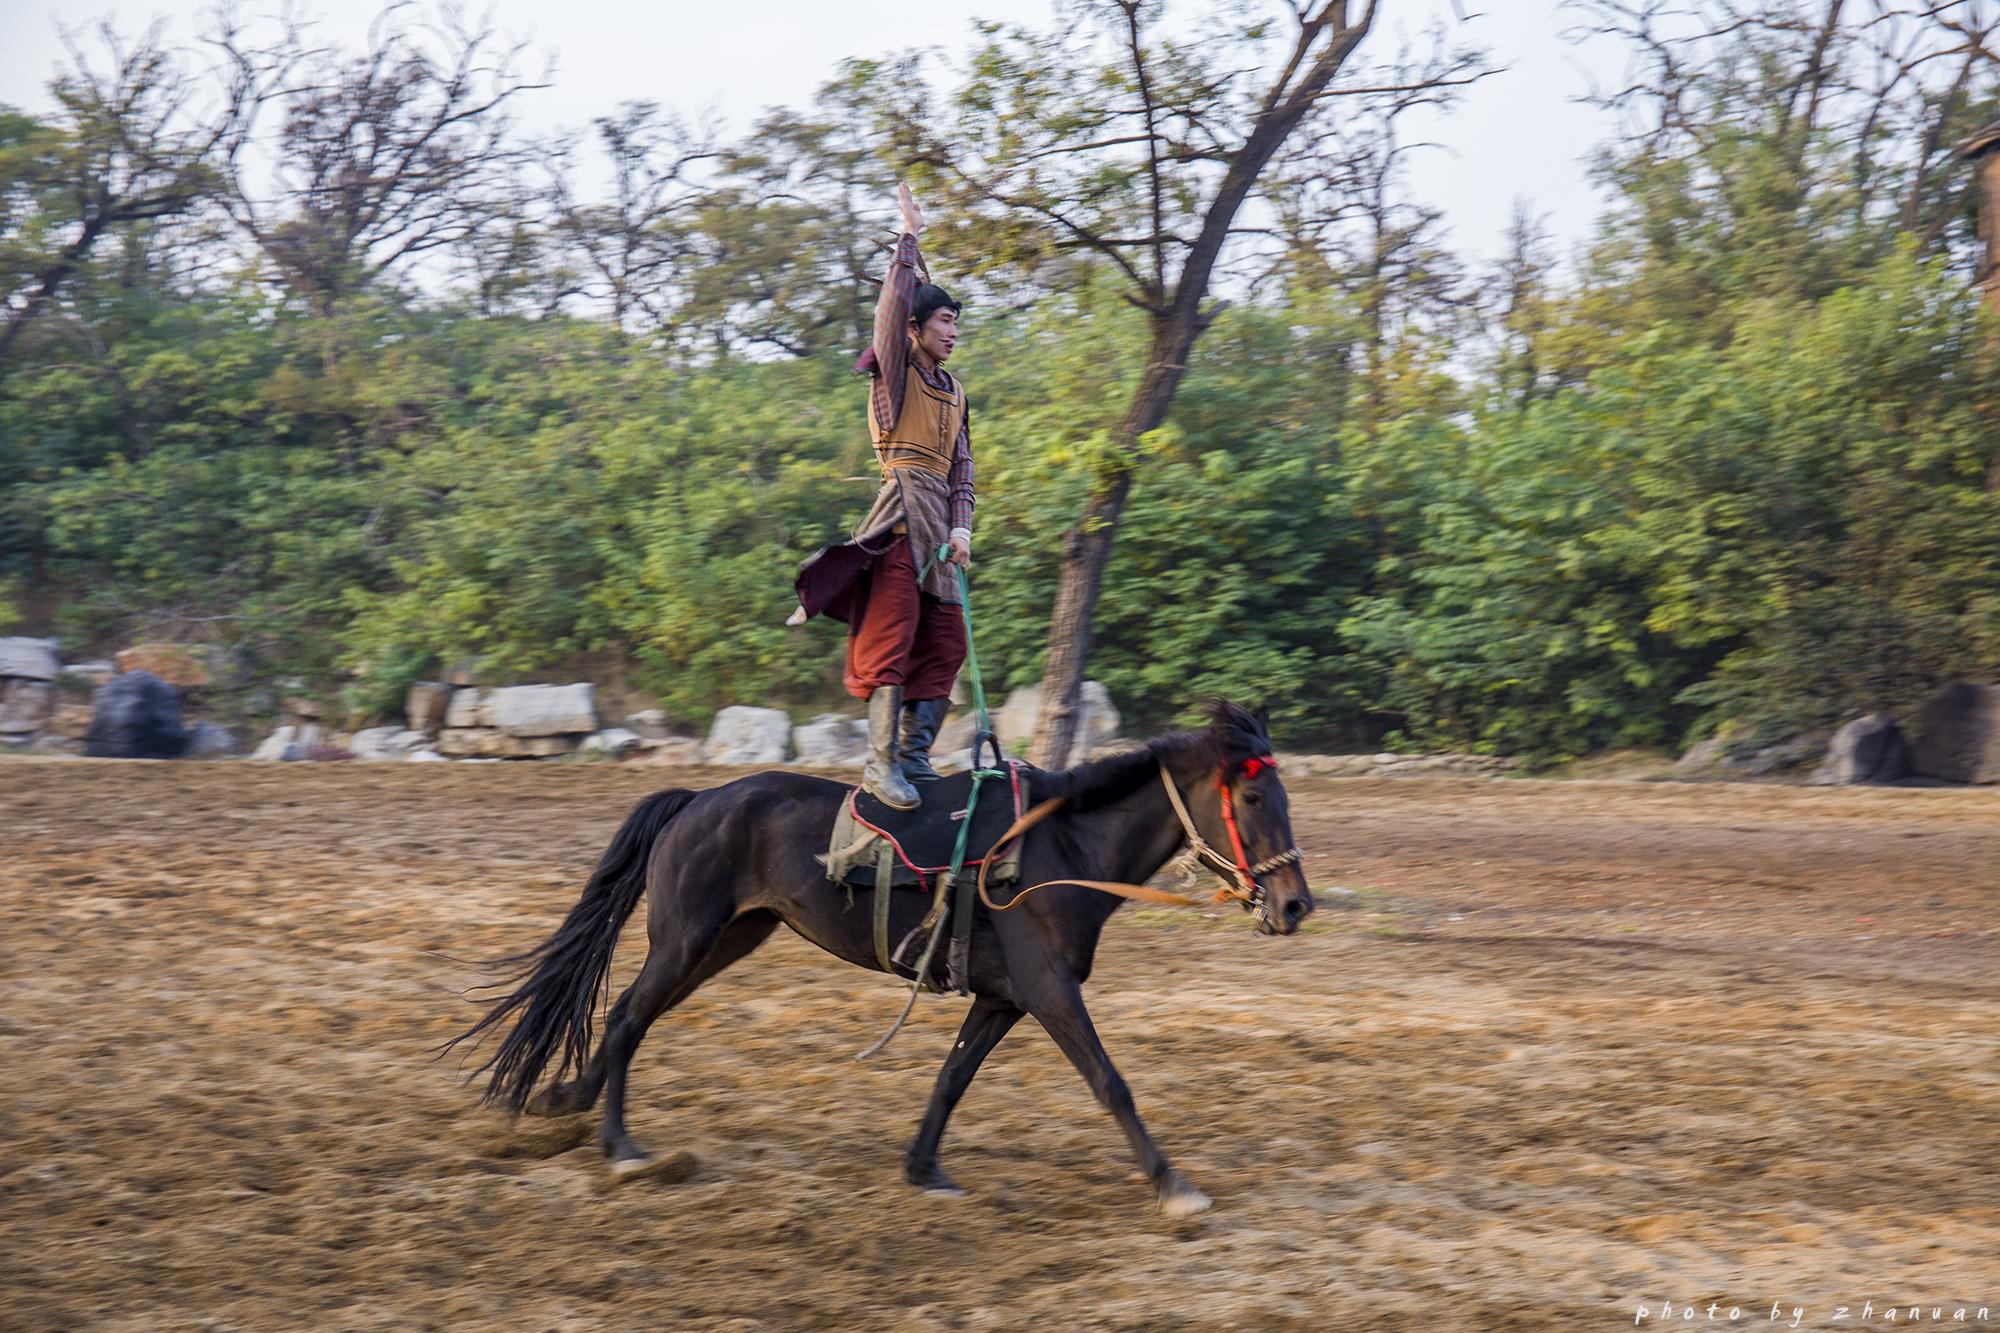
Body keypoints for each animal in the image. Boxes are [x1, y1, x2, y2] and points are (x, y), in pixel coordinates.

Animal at [448, 696, 1312, 1216]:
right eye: (1252, 797)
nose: (1296, 903)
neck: (1060, 850)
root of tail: (696, 800)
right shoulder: (1049, 990)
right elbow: (1110, 1080)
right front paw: (1175, 1184)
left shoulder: (1002, 998)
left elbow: (952, 1078)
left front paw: (924, 1168)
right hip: (687, 937)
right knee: (629, 1015)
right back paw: (623, 1148)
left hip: (727, 938)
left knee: (636, 1013)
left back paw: (568, 1099)